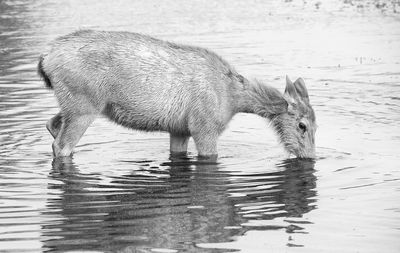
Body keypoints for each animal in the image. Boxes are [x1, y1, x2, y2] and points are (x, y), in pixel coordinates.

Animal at [37, 29, 316, 159]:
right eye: (302, 125)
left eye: (317, 124)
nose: (310, 157)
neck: (233, 99)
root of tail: (46, 59)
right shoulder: (204, 127)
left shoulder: (179, 129)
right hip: (84, 106)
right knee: (61, 146)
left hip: (75, 105)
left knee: (52, 123)